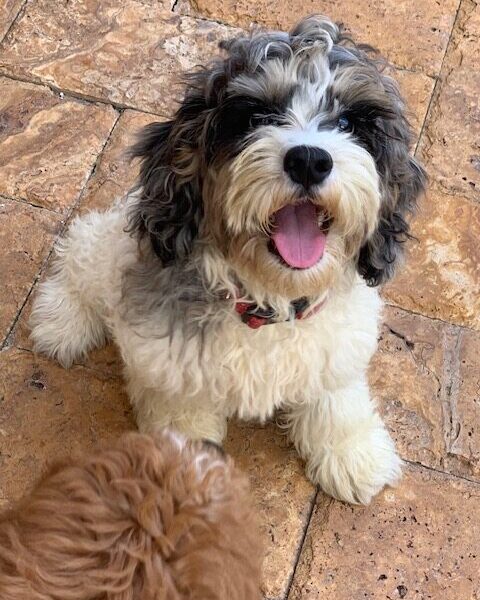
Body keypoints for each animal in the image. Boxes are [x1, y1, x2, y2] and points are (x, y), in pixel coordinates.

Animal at [31, 16, 426, 506]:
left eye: (349, 122)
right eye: (256, 117)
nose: (310, 160)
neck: (267, 302)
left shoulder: (337, 351)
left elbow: (337, 403)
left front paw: (354, 456)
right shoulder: (172, 374)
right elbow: (182, 432)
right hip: (108, 247)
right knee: (83, 247)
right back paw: (61, 321)